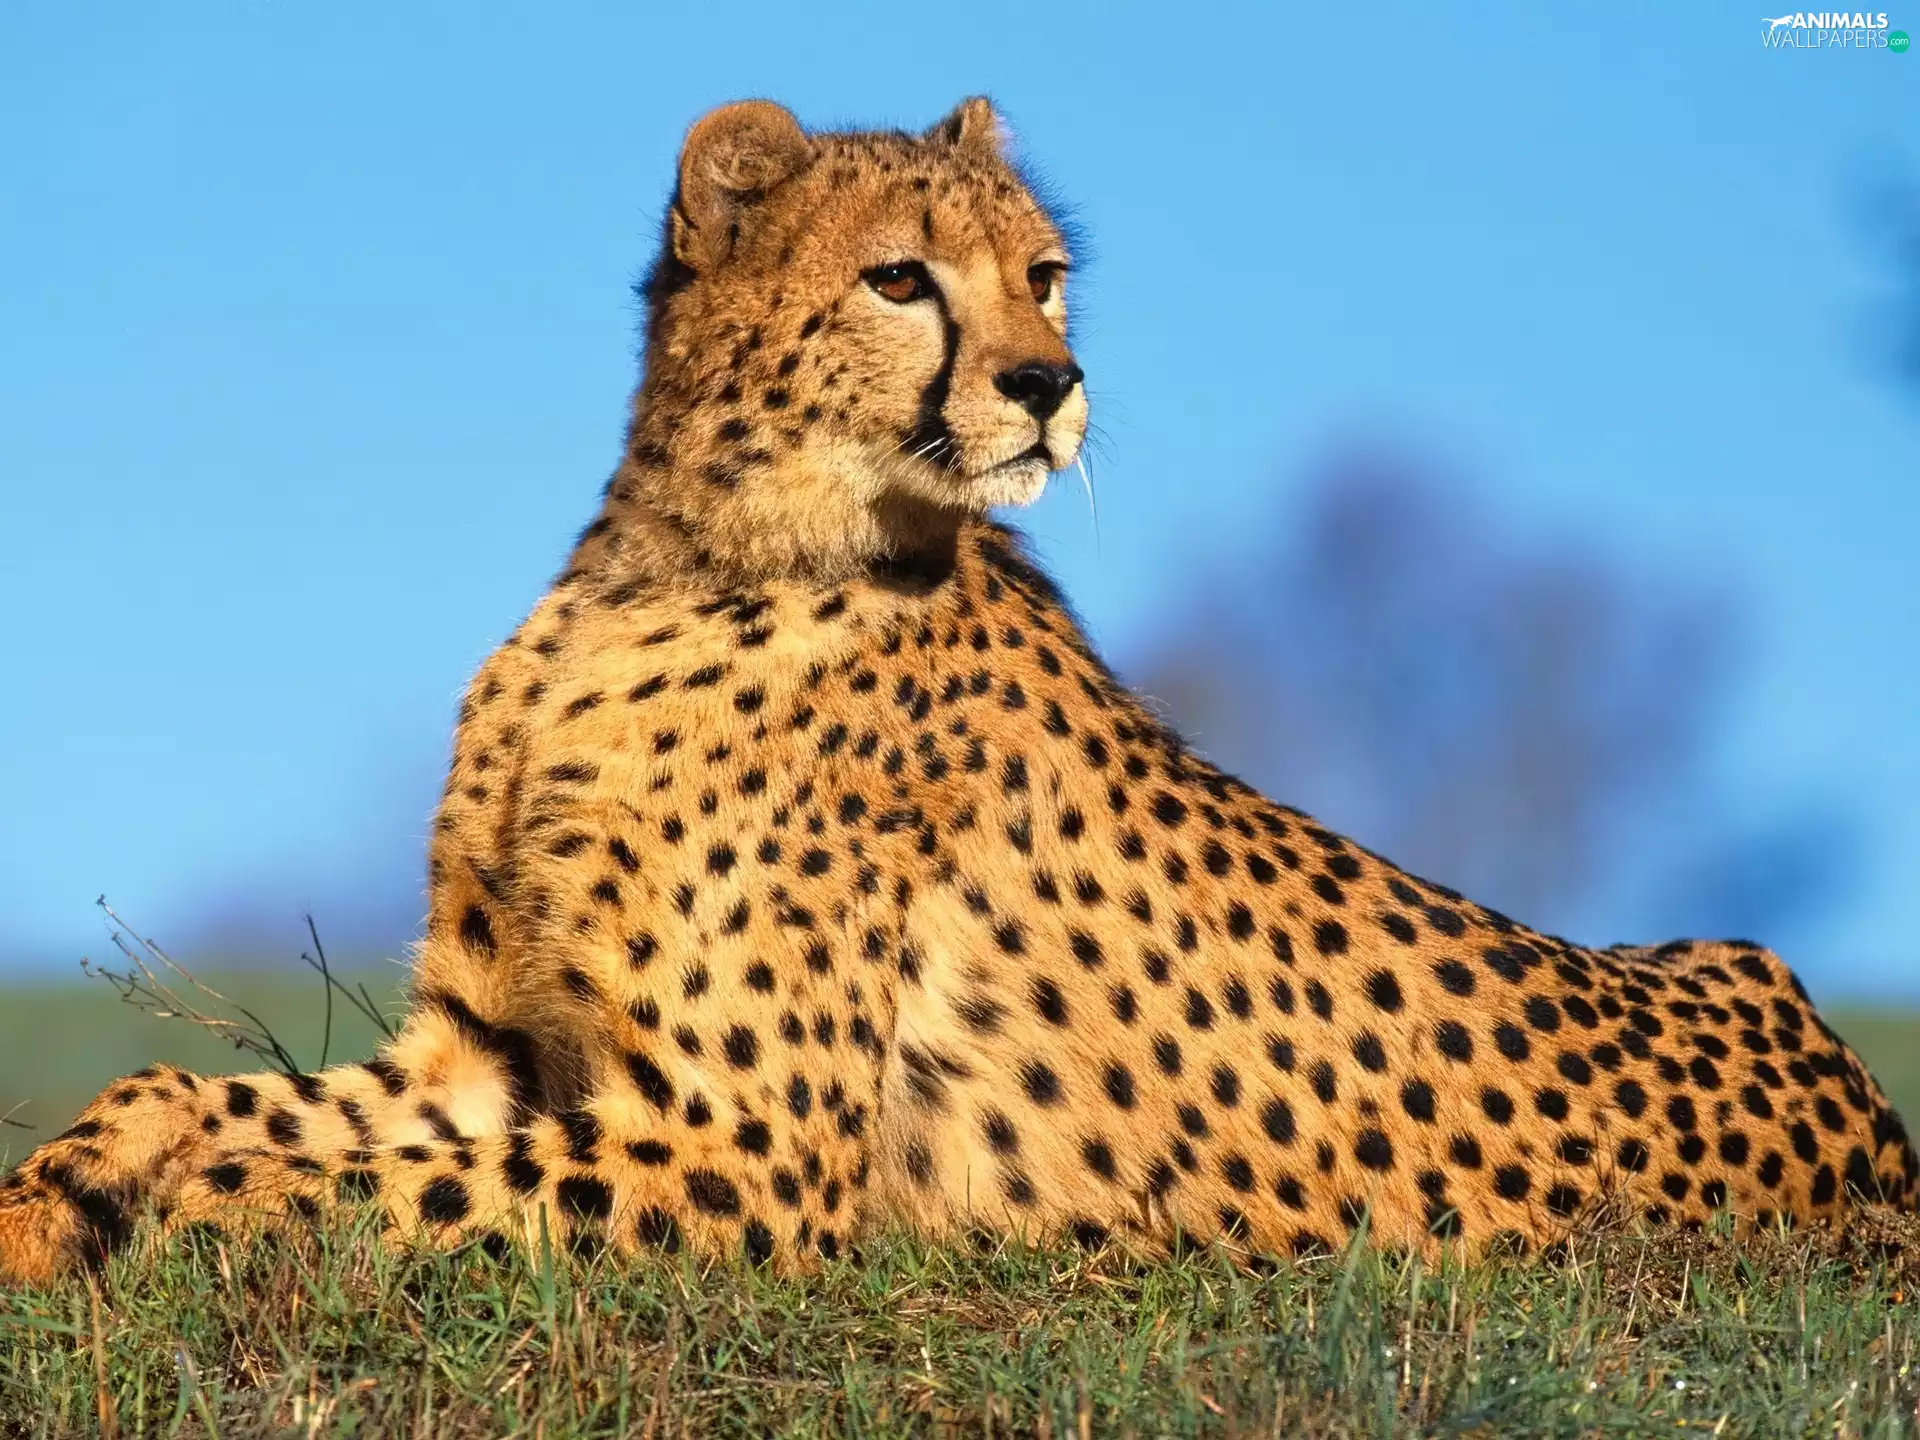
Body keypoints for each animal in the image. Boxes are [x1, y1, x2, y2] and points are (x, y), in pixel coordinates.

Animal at [2, 97, 1912, 1288]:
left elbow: (321, 1175)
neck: (688, 561)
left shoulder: (742, 1150)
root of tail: (1868, 1127)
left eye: (1045, 279)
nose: (1049, 385)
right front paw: (54, 1202)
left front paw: (188, 1219)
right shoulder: (489, 1055)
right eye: (901, 276)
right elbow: (194, 1094)